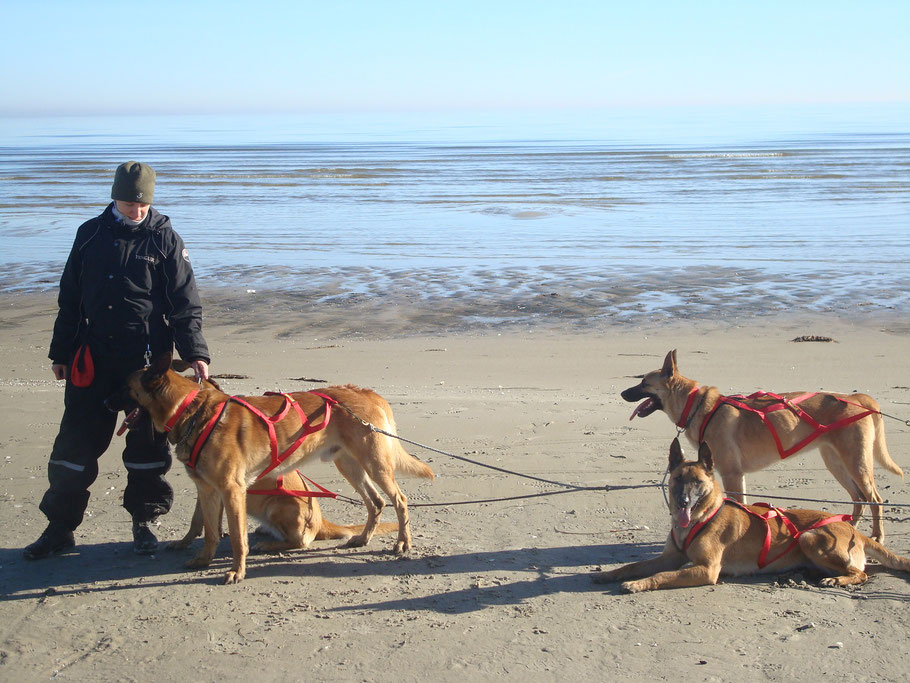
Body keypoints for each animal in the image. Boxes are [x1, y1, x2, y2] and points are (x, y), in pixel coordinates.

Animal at [624, 352, 900, 540]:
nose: (622, 393)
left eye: (644, 383)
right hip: (836, 463)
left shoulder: (732, 474)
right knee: (859, 498)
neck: (697, 405)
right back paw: (849, 528)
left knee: (875, 499)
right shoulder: (736, 475)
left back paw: (877, 535)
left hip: (856, 464)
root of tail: (858, 398)